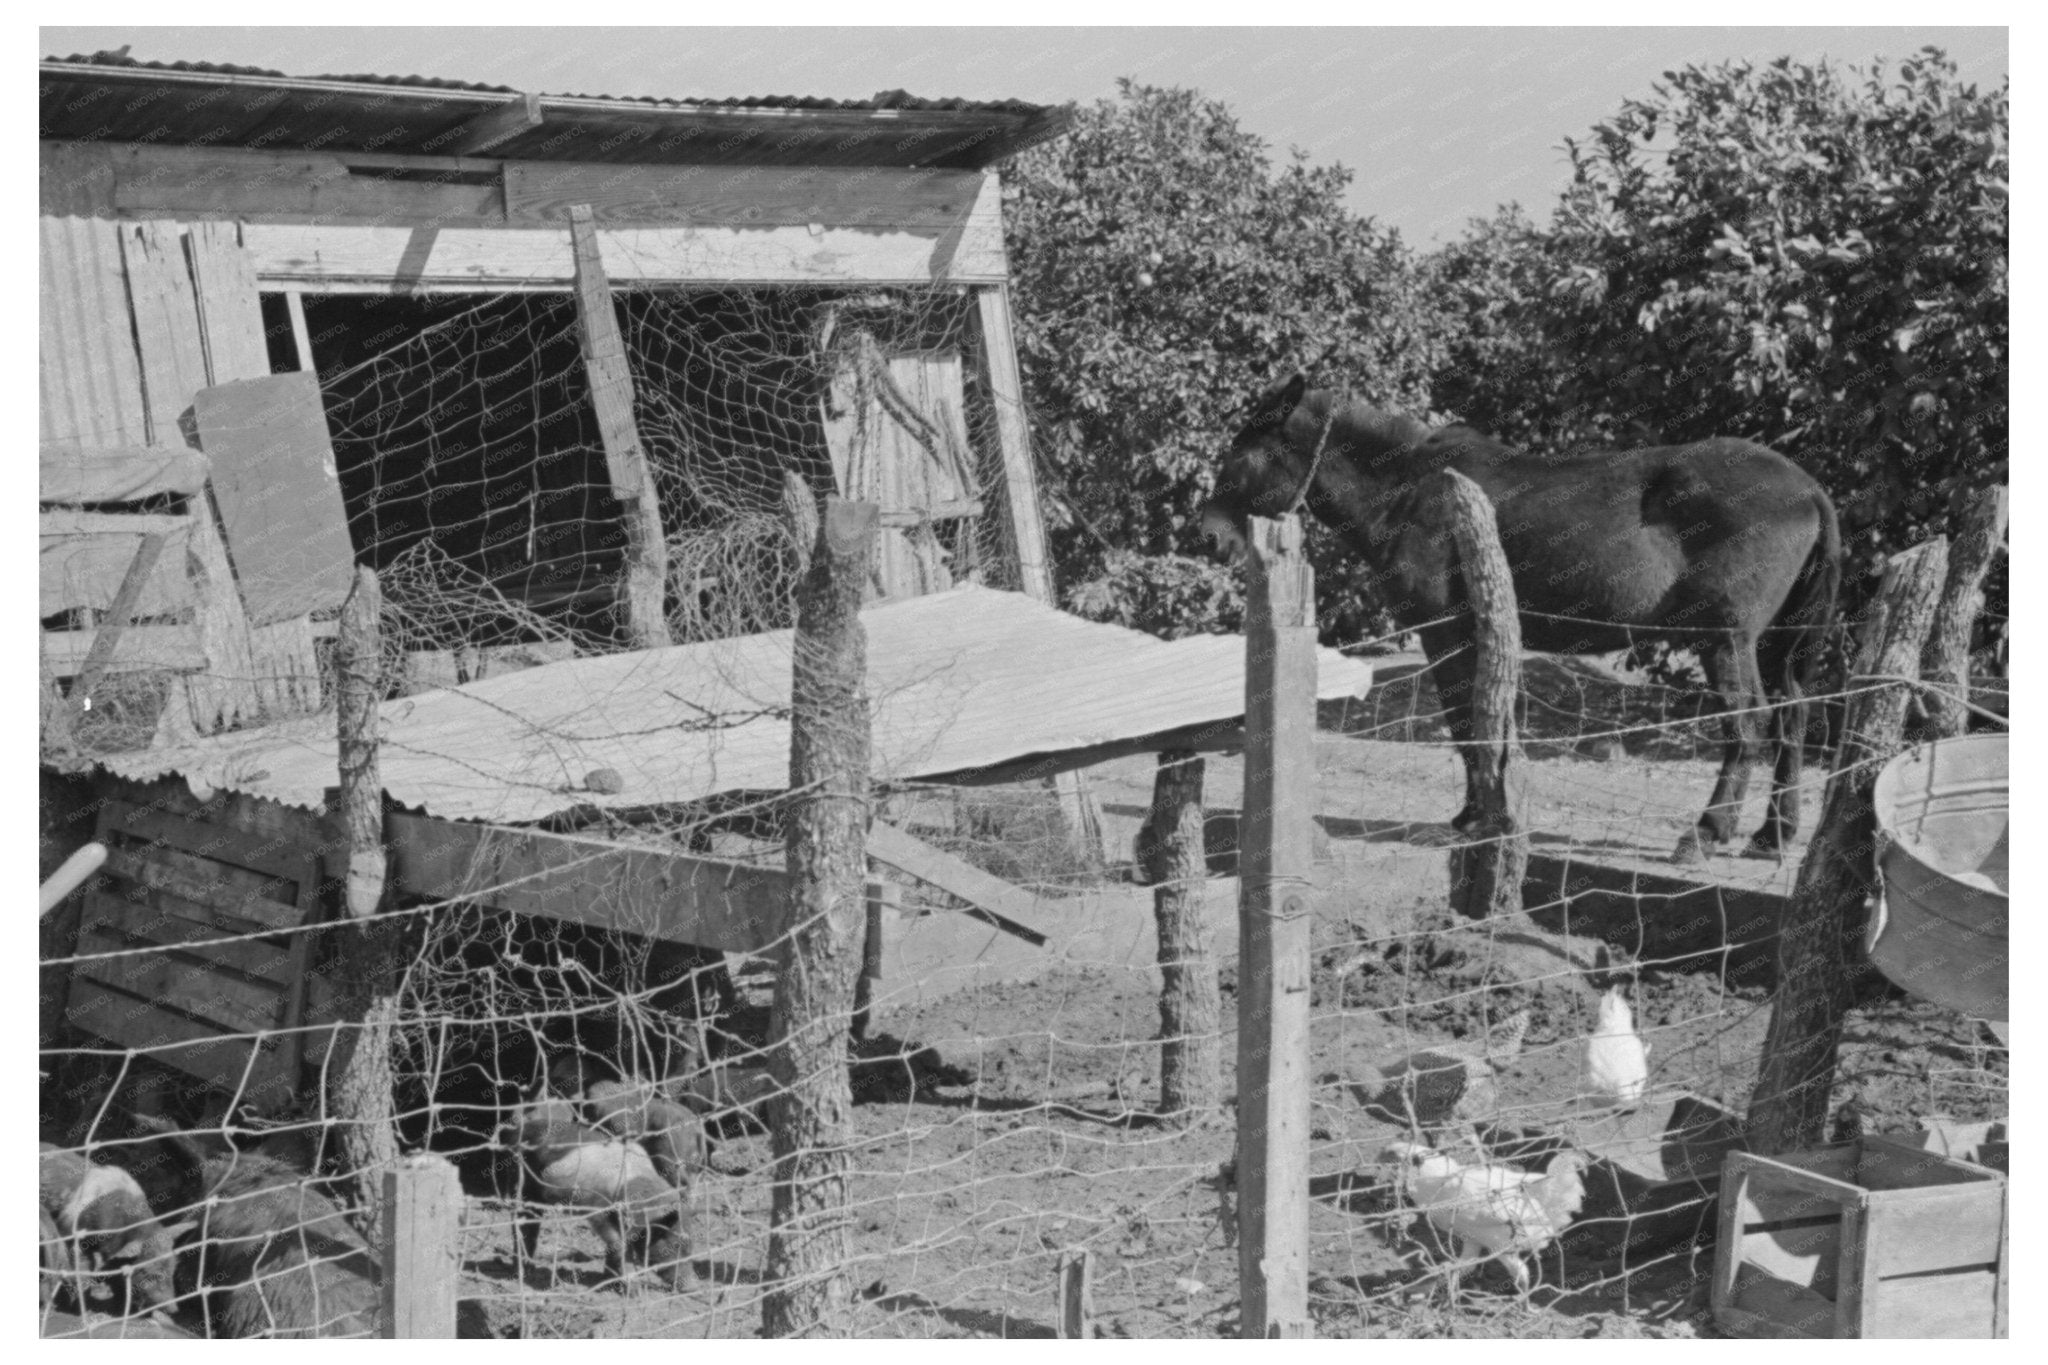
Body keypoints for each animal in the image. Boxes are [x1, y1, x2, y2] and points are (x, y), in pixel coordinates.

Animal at [37, 1146, 187, 1326]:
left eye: (172, 1269)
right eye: (150, 1272)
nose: (174, 1309)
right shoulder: (74, 1238)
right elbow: (80, 1271)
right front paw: (82, 1313)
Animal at [499, 1096, 692, 1285]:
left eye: (689, 1246)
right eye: (674, 1244)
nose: (693, 1285)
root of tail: (514, 1133)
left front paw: (610, 1280)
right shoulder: (599, 1209)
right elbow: (617, 1243)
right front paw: (630, 1283)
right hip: (523, 1183)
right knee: (523, 1221)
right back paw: (523, 1272)